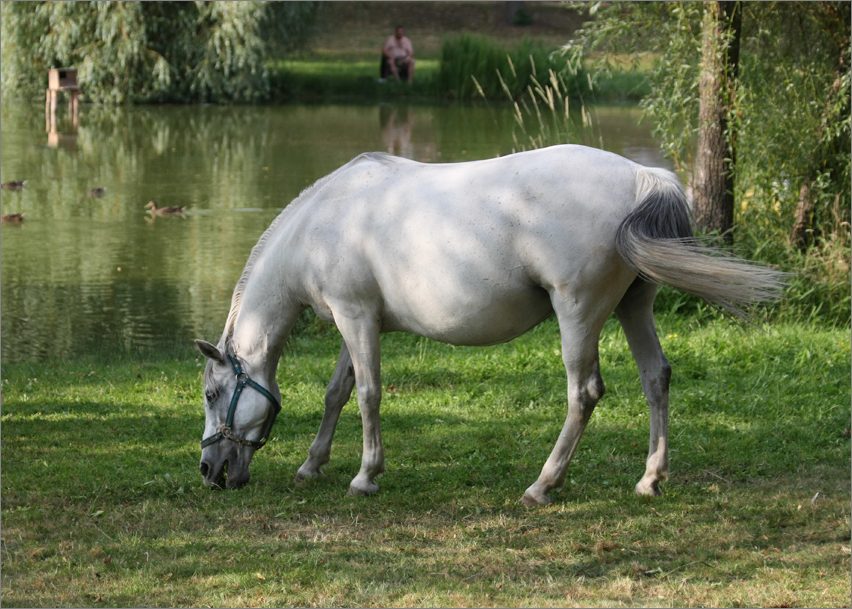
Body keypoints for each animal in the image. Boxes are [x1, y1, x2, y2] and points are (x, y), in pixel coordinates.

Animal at [196, 144, 784, 504]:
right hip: (633, 308)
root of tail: (644, 177)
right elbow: (337, 392)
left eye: (210, 393)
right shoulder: (358, 320)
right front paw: (312, 465)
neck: (323, 221)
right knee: (655, 378)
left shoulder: (355, 316)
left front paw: (365, 476)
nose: (209, 471)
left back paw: (543, 485)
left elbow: (367, 394)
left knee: (584, 392)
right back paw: (650, 479)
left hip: (579, 314)